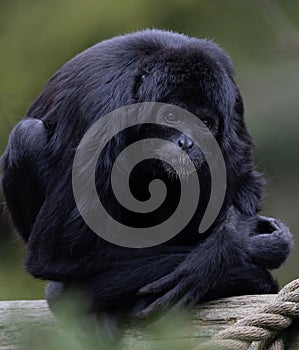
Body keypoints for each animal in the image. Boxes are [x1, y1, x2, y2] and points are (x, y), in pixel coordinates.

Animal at [1, 29, 294, 330]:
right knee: (26, 135)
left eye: (205, 123)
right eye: (172, 116)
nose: (187, 142)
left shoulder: (232, 101)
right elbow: (55, 254)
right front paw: (232, 247)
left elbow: (244, 183)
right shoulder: (104, 111)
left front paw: (220, 255)